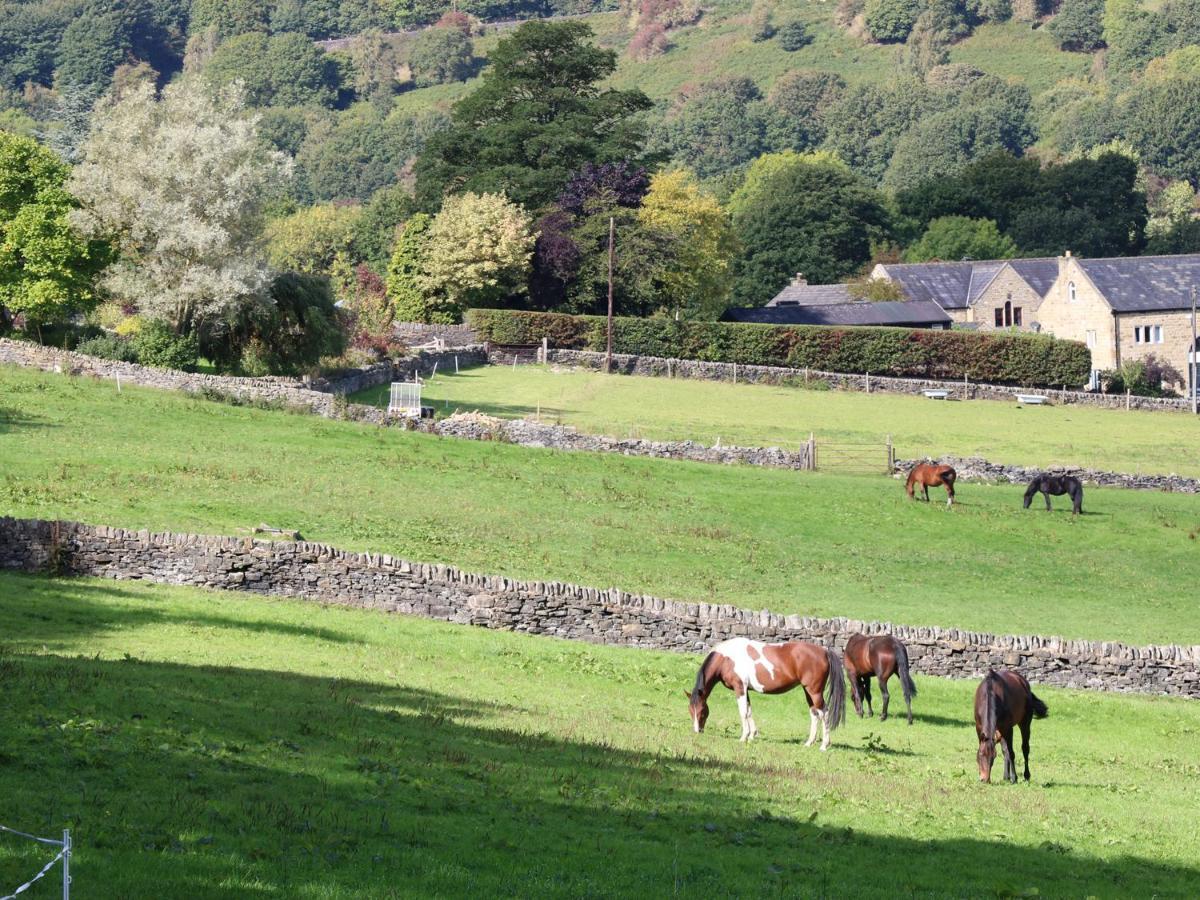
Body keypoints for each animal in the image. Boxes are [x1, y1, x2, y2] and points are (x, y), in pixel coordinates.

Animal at [686, 643, 844, 753]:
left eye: (702, 711)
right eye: (690, 711)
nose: (697, 731)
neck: (727, 659)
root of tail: (824, 651)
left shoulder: (740, 688)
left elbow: (743, 712)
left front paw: (743, 737)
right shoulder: (746, 690)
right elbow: (749, 711)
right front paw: (752, 735)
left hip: (814, 691)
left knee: (824, 713)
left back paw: (824, 745)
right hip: (808, 691)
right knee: (814, 714)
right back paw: (809, 743)